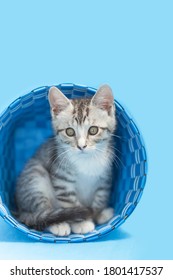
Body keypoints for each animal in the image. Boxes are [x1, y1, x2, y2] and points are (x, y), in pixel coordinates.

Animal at [15, 84, 117, 235]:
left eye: (93, 130)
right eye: (70, 132)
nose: (81, 146)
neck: (87, 162)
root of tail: (18, 209)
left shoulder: (105, 178)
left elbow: (100, 197)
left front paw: (98, 214)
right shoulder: (62, 181)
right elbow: (70, 202)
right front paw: (81, 223)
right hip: (34, 175)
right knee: (41, 213)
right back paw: (57, 224)